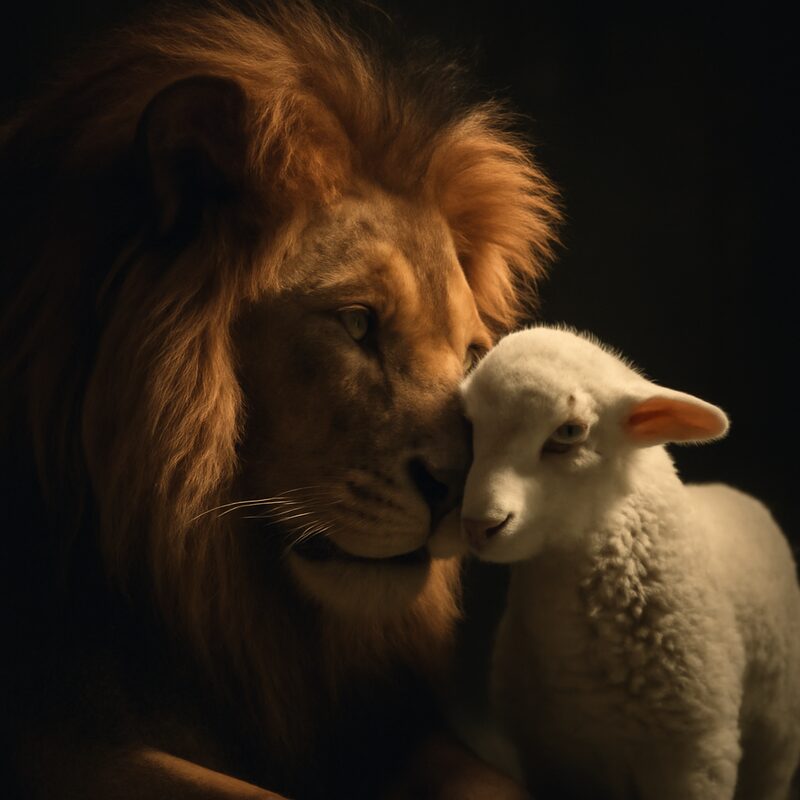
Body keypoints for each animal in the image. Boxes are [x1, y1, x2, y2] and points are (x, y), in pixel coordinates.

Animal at [459, 325, 800, 800]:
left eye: (569, 431)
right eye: (469, 425)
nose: (479, 525)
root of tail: (732, 491)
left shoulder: (694, 755)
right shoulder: (549, 756)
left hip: (777, 727)